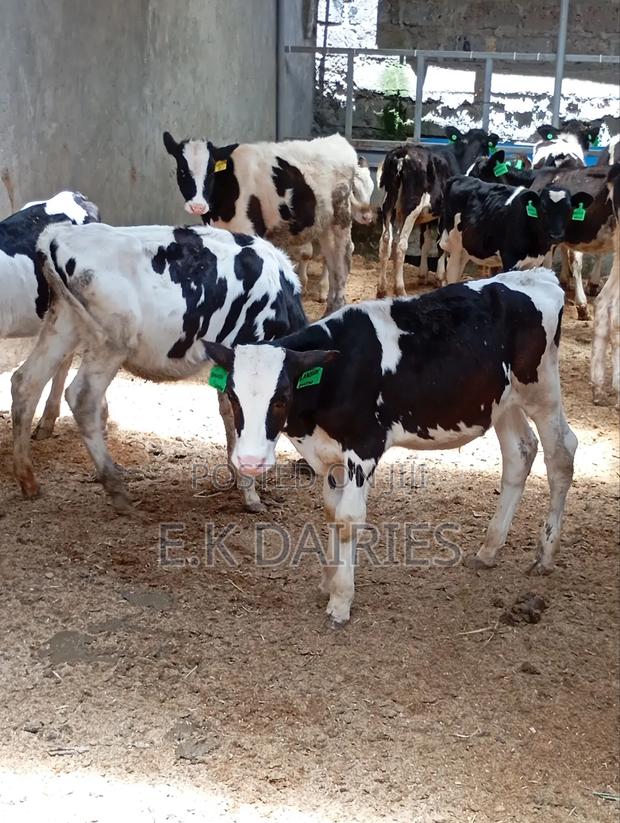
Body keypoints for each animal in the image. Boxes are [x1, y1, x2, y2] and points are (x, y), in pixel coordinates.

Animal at [11, 223, 307, 513]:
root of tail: (59, 233)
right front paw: (250, 493)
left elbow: (227, 411)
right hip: (113, 341)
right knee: (82, 397)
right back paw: (118, 492)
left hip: (64, 322)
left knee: (26, 382)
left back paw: (28, 481)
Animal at [163, 131, 374, 316]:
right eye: (182, 171)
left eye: (210, 172)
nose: (197, 206)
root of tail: (337, 139)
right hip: (323, 223)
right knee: (330, 259)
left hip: (340, 220)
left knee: (341, 262)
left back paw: (335, 307)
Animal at [202, 268, 575, 625]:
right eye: (232, 396)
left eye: (281, 398)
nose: (249, 460)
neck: (336, 374)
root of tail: (540, 276)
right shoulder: (330, 456)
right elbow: (332, 513)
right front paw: (328, 581)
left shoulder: (363, 448)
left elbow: (349, 518)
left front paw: (341, 601)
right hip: (503, 401)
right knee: (520, 453)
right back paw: (488, 550)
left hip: (542, 390)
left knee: (561, 454)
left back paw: (545, 554)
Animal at [377, 127, 499, 298]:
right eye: (464, 141)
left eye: (485, 142)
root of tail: (402, 152)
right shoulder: (444, 213)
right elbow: (440, 245)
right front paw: (441, 278)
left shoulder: (427, 216)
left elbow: (425, 241)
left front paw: (423, 275)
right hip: (411, 207)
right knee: (400, 245)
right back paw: (400, 288)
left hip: (388, 205)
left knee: (386, 241)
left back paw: (382, 288)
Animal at [437, 176, 592, 284]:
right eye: (543, 209)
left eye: (569, 209)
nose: (555, 235)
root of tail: (458, 178)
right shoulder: (510, 259)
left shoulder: (533, 263)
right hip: (455, 245)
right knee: (451, 274)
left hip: (466, 247)